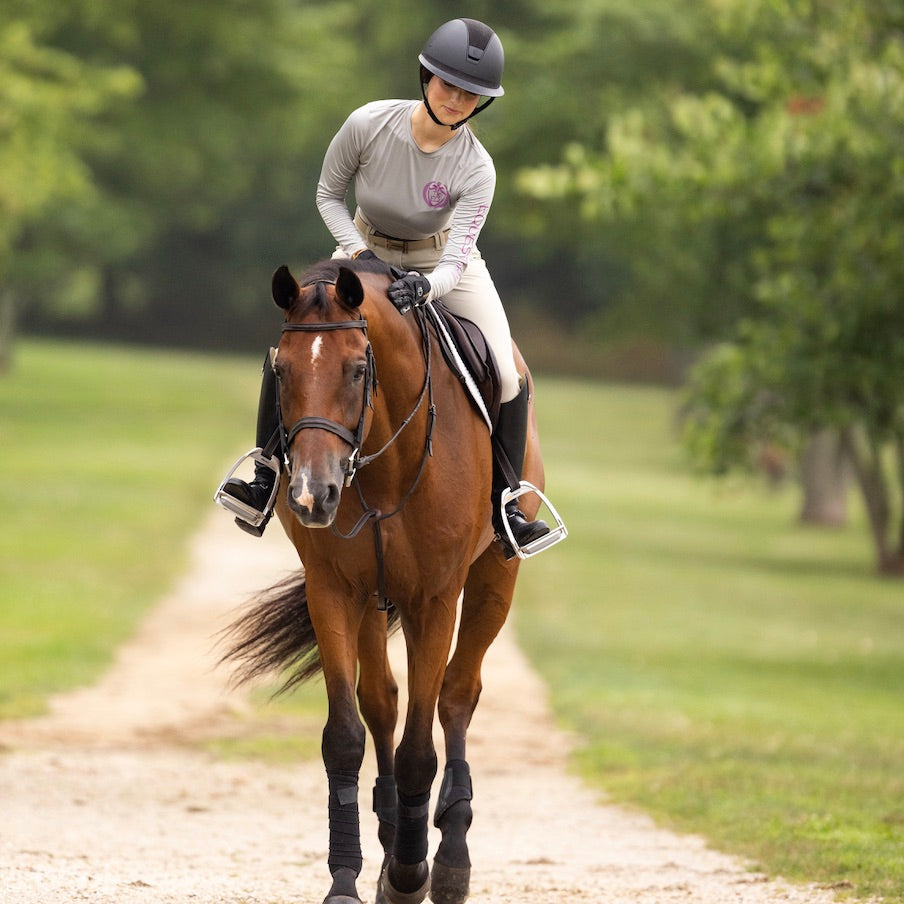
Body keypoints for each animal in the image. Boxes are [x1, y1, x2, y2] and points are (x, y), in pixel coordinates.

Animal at [224, 256, 552, 904]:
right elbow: (346, 735)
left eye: (357, 370)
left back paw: (448, 855)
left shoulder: (435, 599)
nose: (312, 494)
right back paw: (389, 826)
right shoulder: (333, 590)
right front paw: (347, 878)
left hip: (493, 581)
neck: (382, 462)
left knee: (457, 696)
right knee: (381, 700)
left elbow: (420, 749)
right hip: (373, 601)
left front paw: (410, 874)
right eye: (282, 371)